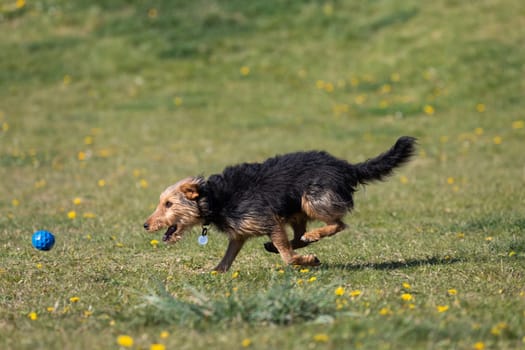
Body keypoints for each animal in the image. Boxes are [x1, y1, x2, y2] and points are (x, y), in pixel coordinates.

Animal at [142, 136, 414, 270]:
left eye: (168, 204)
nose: (145, 225)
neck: (214, 198)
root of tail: (347, 167)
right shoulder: (240, 234)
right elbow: (227, 259)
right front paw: (213, 272)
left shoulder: (268, 221)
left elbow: (289, 258)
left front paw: (308, 261)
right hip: (297, 210)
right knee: (300, 235)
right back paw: (289, 243)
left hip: (312, 199)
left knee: (337, 225)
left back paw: (313, 236)